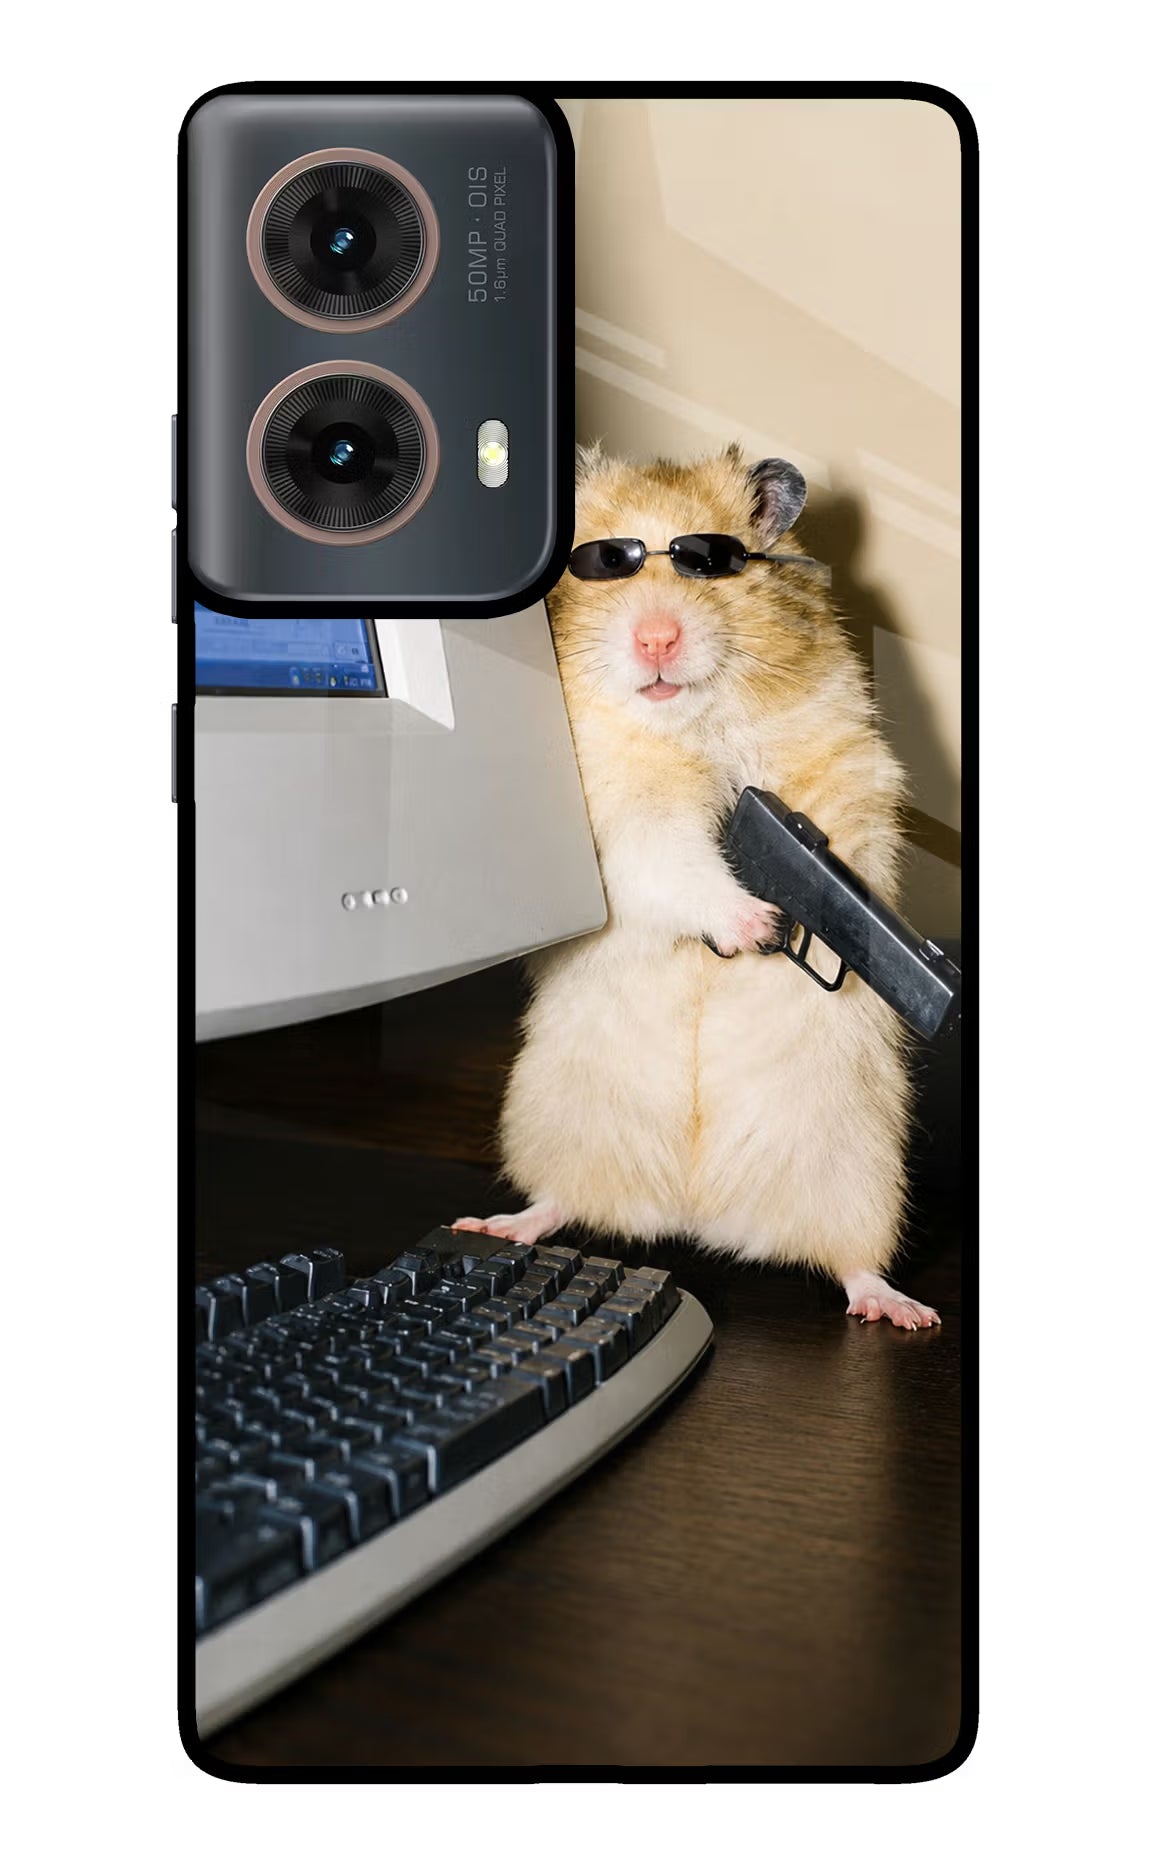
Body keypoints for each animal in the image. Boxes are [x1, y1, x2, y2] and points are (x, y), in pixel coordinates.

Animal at [456, 444, 939, 1329]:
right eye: (603, 563)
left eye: (709, 562)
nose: (656, 639)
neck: (690, 724)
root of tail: (694, 1212)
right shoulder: (620, 820)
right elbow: (675, 861)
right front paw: (756, 925)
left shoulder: (843, 765)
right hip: (556, 1119)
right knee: (560, 1200)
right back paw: (498, 1223)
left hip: (857, 1169)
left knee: (852, 1261)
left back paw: (901, 1309)